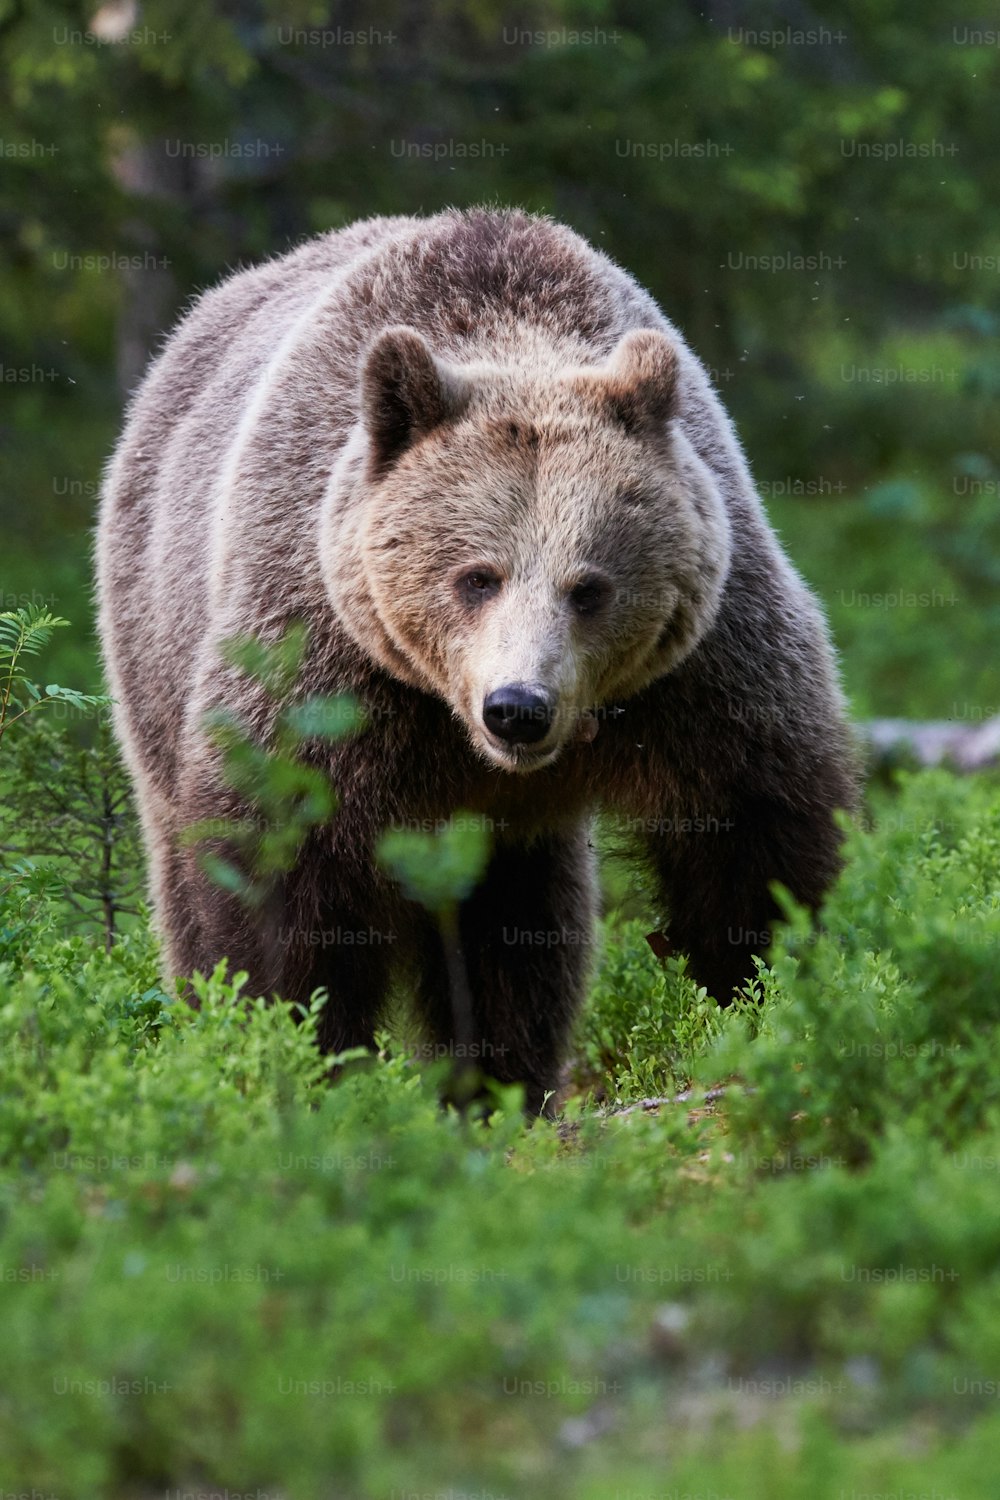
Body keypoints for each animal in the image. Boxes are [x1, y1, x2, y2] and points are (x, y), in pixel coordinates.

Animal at [95, 202, 863, 1116]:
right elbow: (280, 871)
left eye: (589, 587)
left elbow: (752, 836)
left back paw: (502, 1084)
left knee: (523, 930)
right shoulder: (325, 660)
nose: (518, 708)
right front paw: (292, 1053)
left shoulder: (703, 667)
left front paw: (767, 997)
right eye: (475, 576)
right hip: (154, 637)